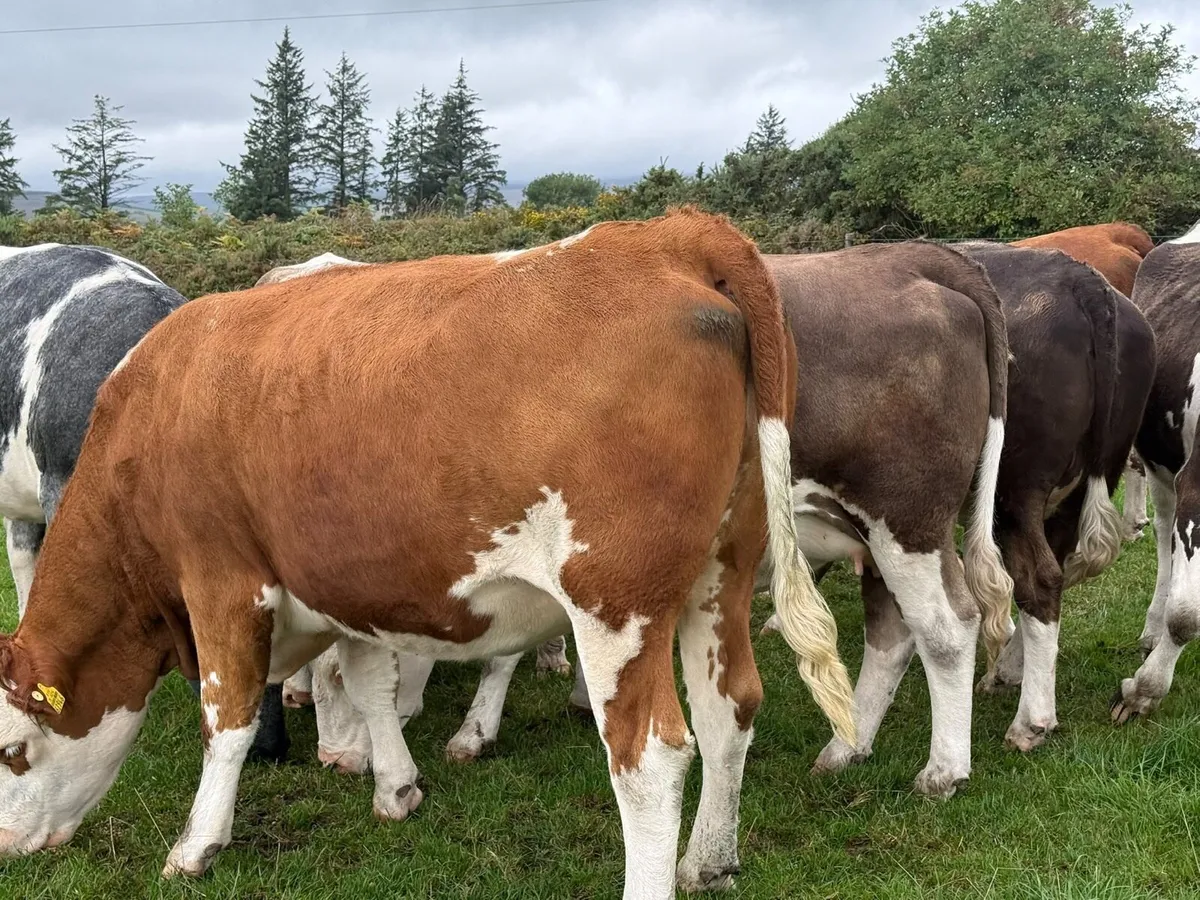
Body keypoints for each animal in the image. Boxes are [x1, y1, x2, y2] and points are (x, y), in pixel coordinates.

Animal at [0, 209, 855, 899]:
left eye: (11, 750)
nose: (8, 846)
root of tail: (670, 234)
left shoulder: (222, 581)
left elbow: (229, 717)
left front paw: (197, 844)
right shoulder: (349, 588)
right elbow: (369, 685)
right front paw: (396, 786)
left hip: (617, 599)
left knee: (651, 758)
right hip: (721, 575)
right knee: (729, 709)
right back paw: (709, 860)